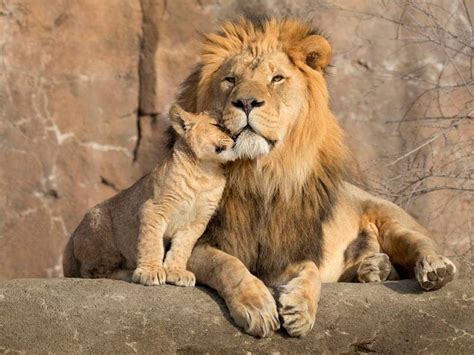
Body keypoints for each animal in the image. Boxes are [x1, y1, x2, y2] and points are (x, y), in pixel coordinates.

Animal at [63, 17, 456, 340]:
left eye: (276, 78)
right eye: (231, 80)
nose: (247, 102)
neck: (261, 175)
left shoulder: (291, 247)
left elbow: (310, 271)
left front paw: (300, 309)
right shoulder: (204, 242)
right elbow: (229, 265)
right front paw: (258, 307)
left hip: (390, 216)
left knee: (420, 244)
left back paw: (431, 269)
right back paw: (374, 267)